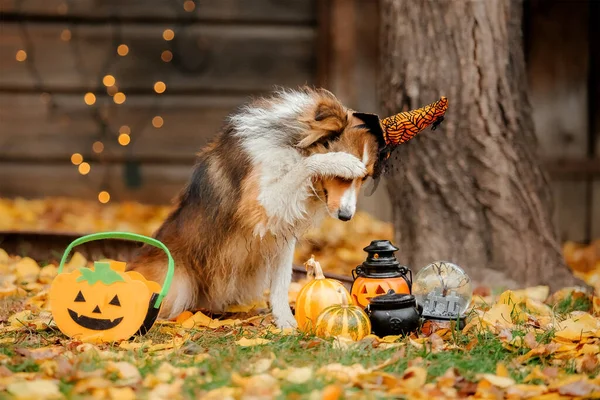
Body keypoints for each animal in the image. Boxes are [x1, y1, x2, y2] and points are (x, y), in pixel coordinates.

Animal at [129, 87, 382, 328]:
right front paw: (340, 160)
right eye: (342, 176)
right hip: (177, 284)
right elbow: (305, 165)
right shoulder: (260, 206)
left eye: (365, 178)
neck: (293, 144)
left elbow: (282, 280)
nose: (346, 216)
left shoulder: (283, 228)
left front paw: (285, 321)